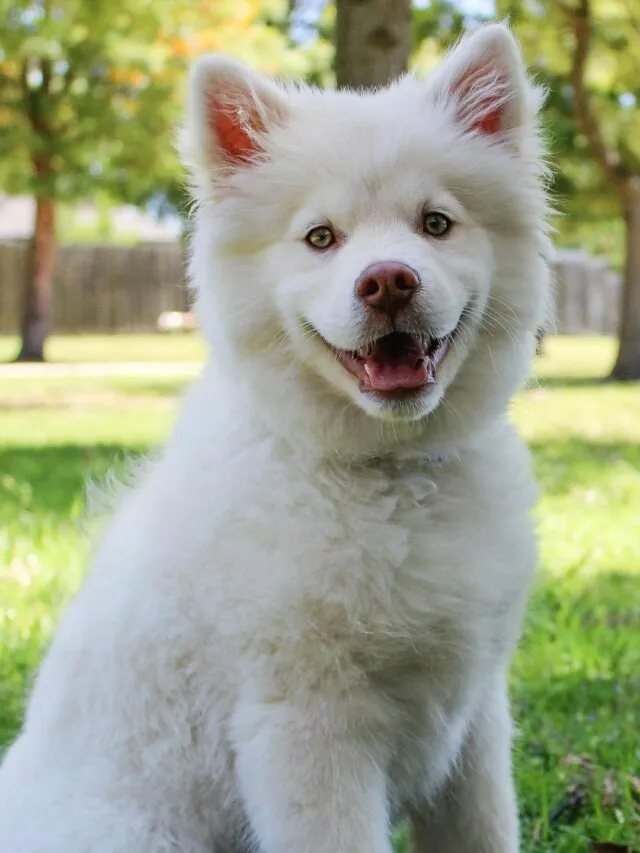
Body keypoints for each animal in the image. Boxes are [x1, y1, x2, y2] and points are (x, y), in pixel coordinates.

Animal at [0, 21, 552, 852]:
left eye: (436, 223)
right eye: (320, 237)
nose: (388, 281)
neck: (388, 474)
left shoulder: (474, 715)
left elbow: (486, 832)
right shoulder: (308, 727)